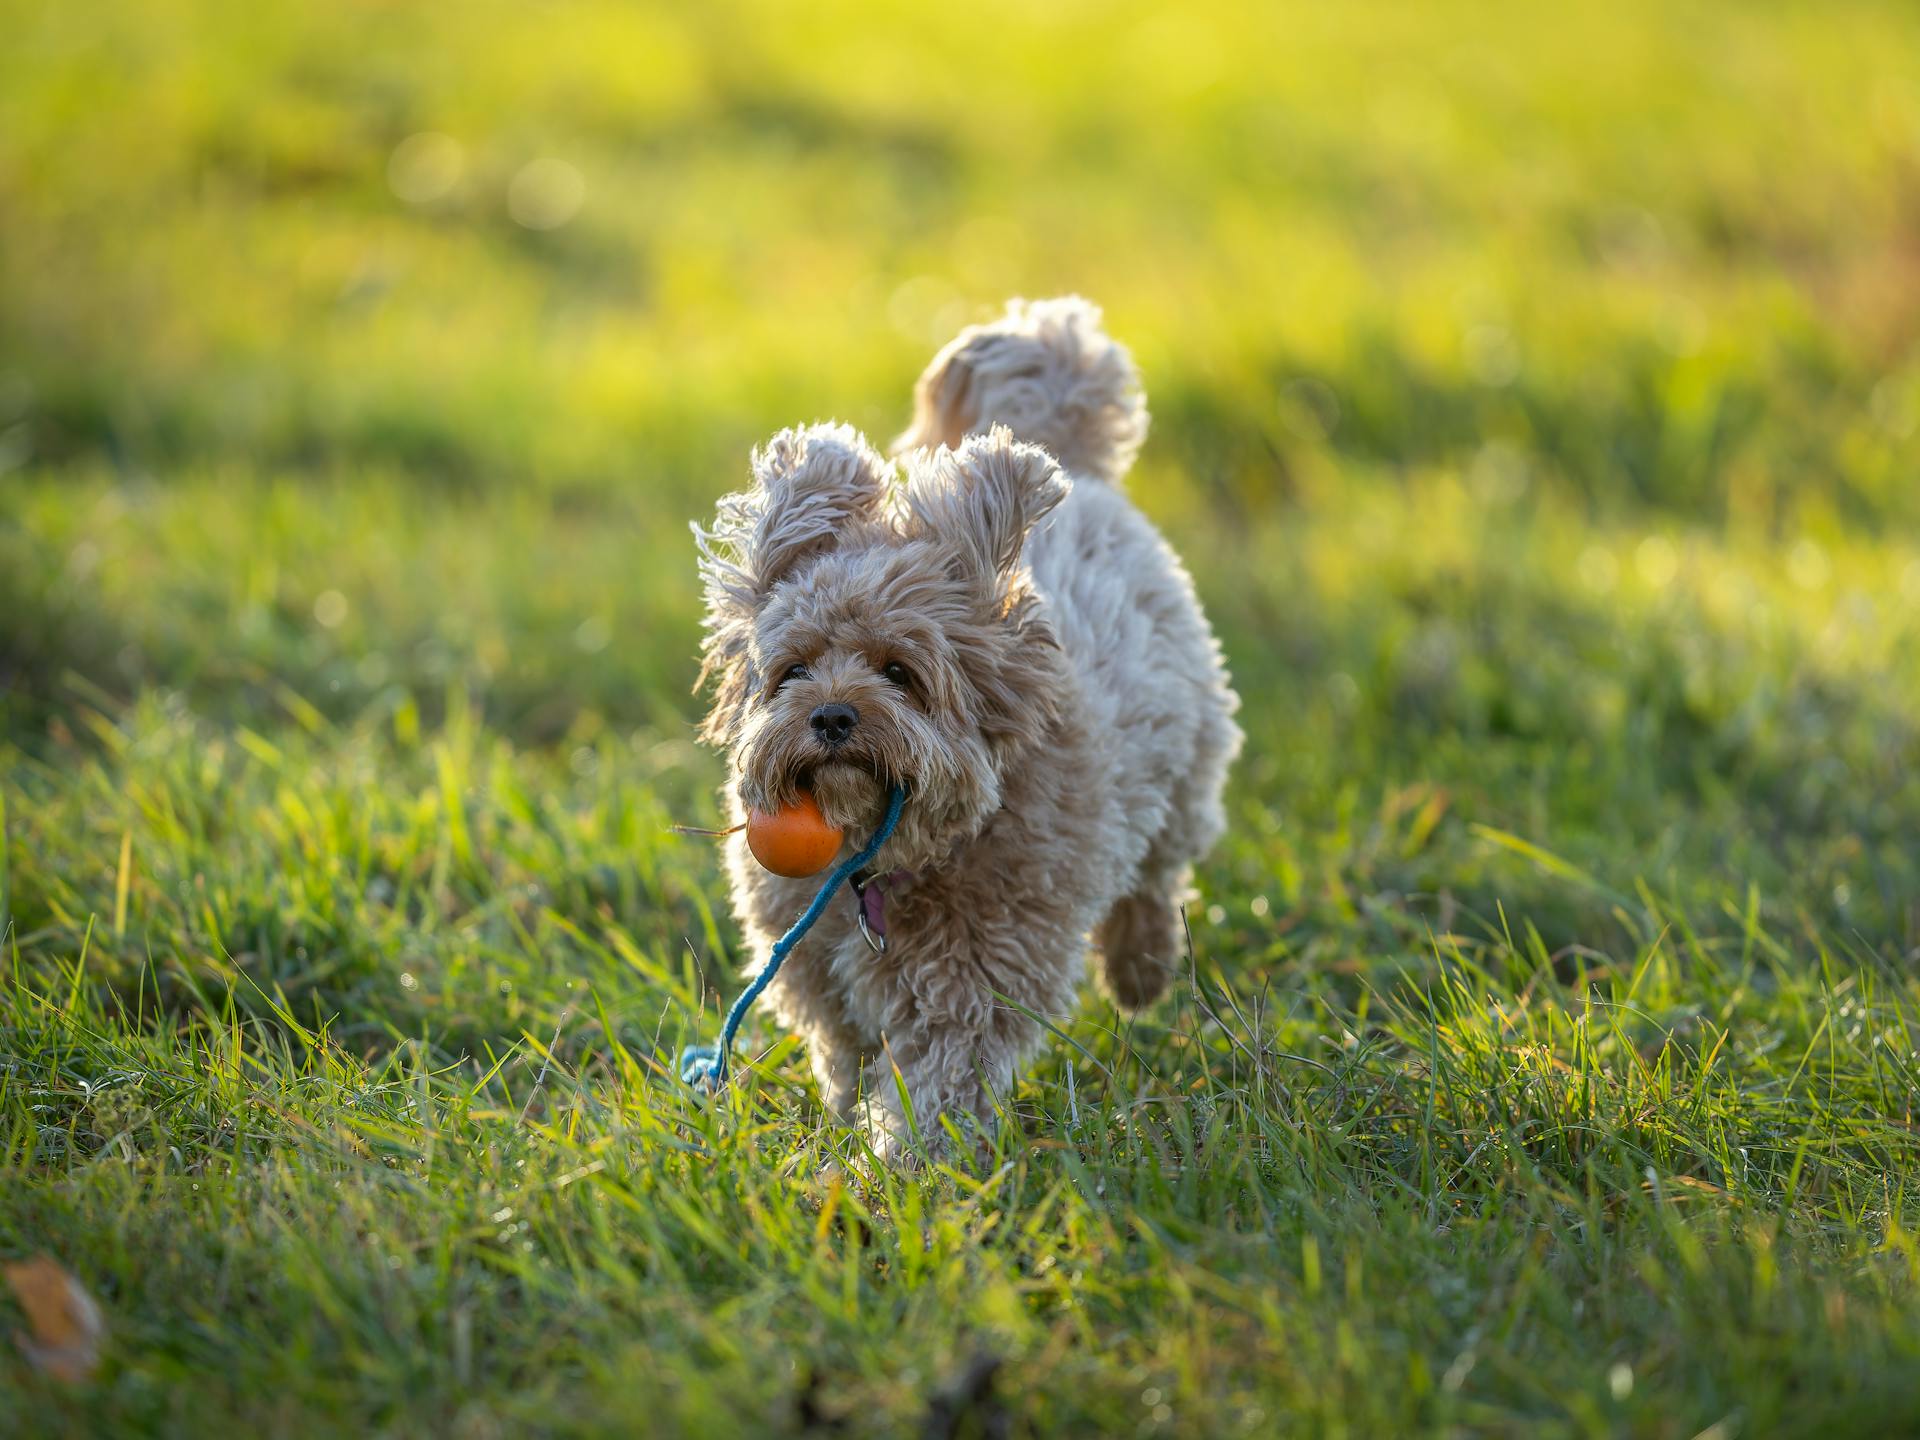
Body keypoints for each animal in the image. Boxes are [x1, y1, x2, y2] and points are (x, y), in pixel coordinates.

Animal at [698, 299, 1236, 1167]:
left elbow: (939, 1082)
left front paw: (899, 1173)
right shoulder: (816, 969)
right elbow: (846, 1052)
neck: (880, 862)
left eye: (900, 672)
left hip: (1186, 762)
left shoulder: (976, 979)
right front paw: (846, 1128)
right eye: (794, 671)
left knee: (1156, 875)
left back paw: (1141, 970)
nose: (832, 714)